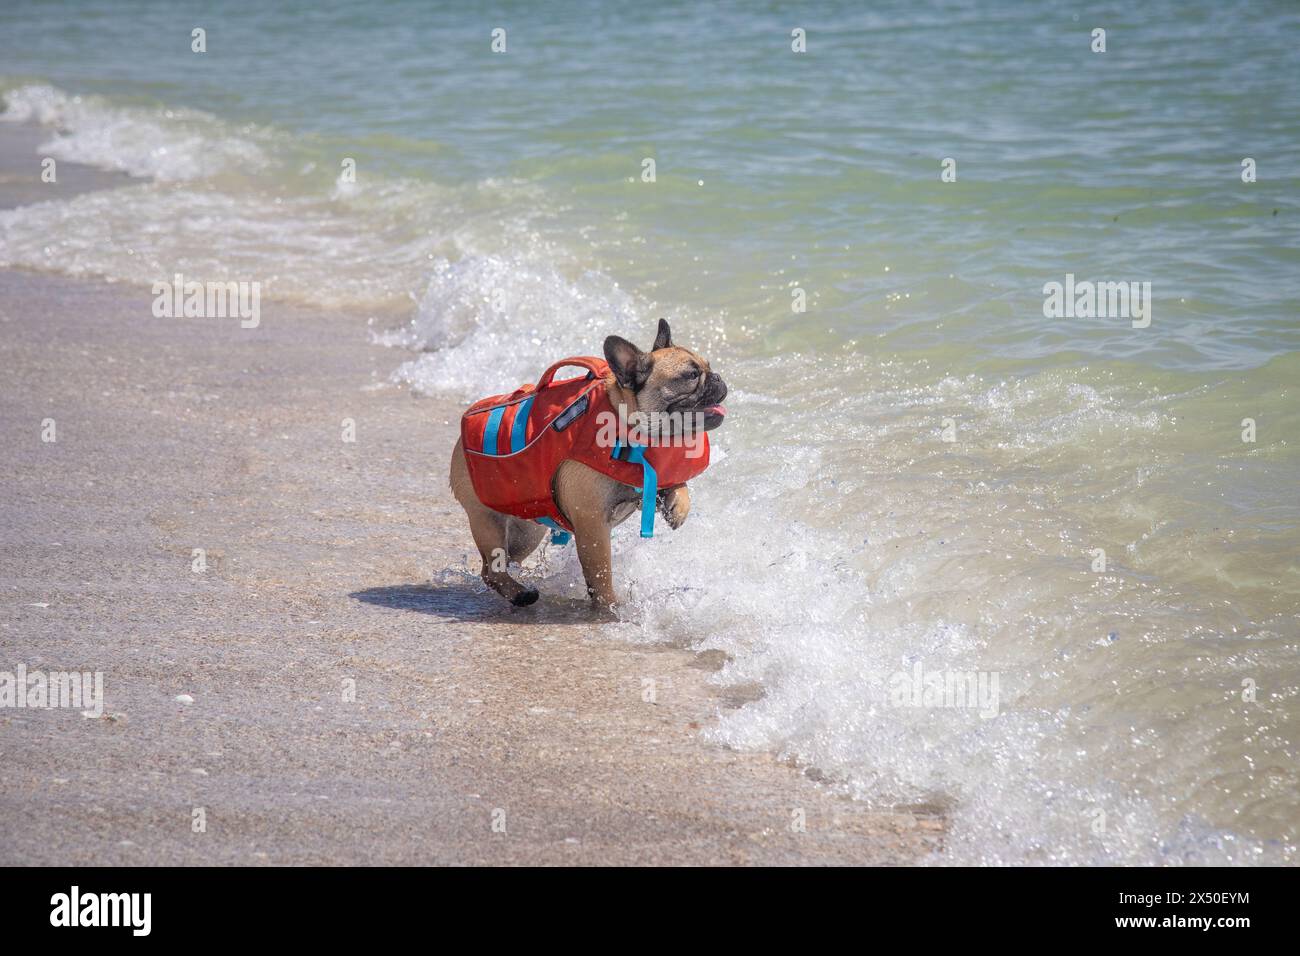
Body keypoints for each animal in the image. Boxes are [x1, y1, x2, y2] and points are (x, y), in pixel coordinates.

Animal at [449, 317, 728, 608]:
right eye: (691, 376)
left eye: (708, 367)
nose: (718, 378)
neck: (632, 429)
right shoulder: (592, 526)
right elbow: (601, 573)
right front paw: (609, 606)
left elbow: (675, 483)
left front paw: (679, 506)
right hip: (487, 520)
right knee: (492, 569)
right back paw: (520, 593)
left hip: (527, 533)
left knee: (507, 560)